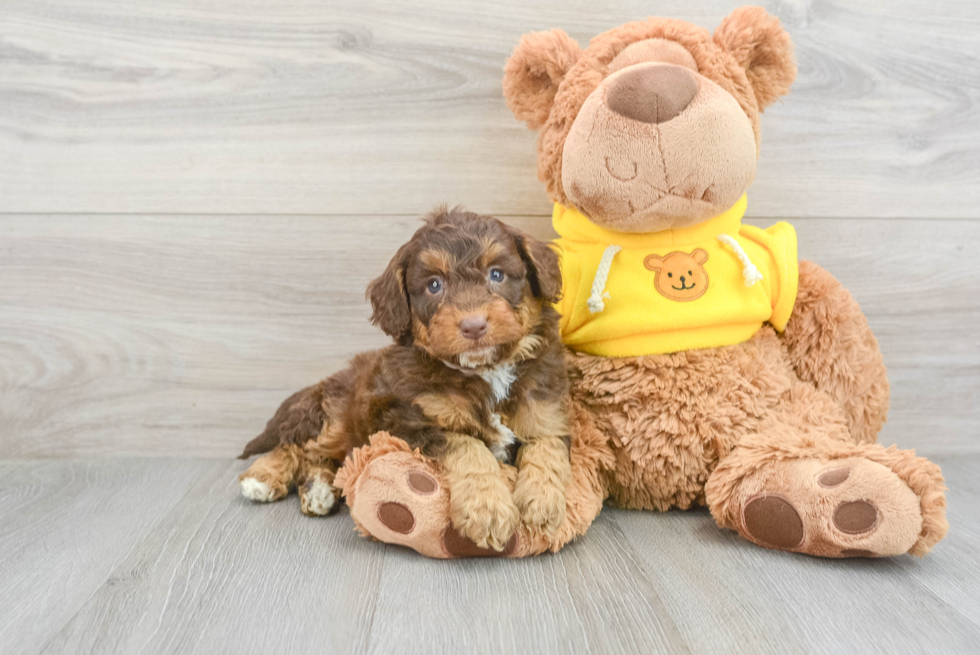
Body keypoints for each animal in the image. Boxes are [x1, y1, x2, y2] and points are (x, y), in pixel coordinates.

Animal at [239, 208, 576, 552]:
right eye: (434, 285)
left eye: (496, 274)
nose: (473, 325)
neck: (485, 371)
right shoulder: (407, 421)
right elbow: (466, 444)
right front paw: (488, 509)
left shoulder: (545, 405)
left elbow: (547, 443)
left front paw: (543, 503)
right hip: (333, 417)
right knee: (295, 444)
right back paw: (263, 478)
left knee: (318, 455)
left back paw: (319, 489)